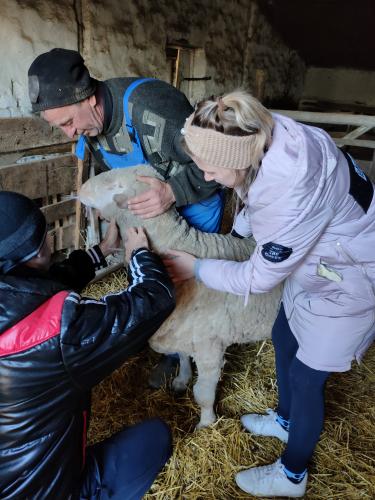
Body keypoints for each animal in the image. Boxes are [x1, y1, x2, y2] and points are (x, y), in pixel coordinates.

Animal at [79, 166, 282, 428]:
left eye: (114, 185)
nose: (80, 189)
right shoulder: (183, 331)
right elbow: (184, 358)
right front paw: (181, 380)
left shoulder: (210, 346)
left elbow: (203, 393)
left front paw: (206, 424)